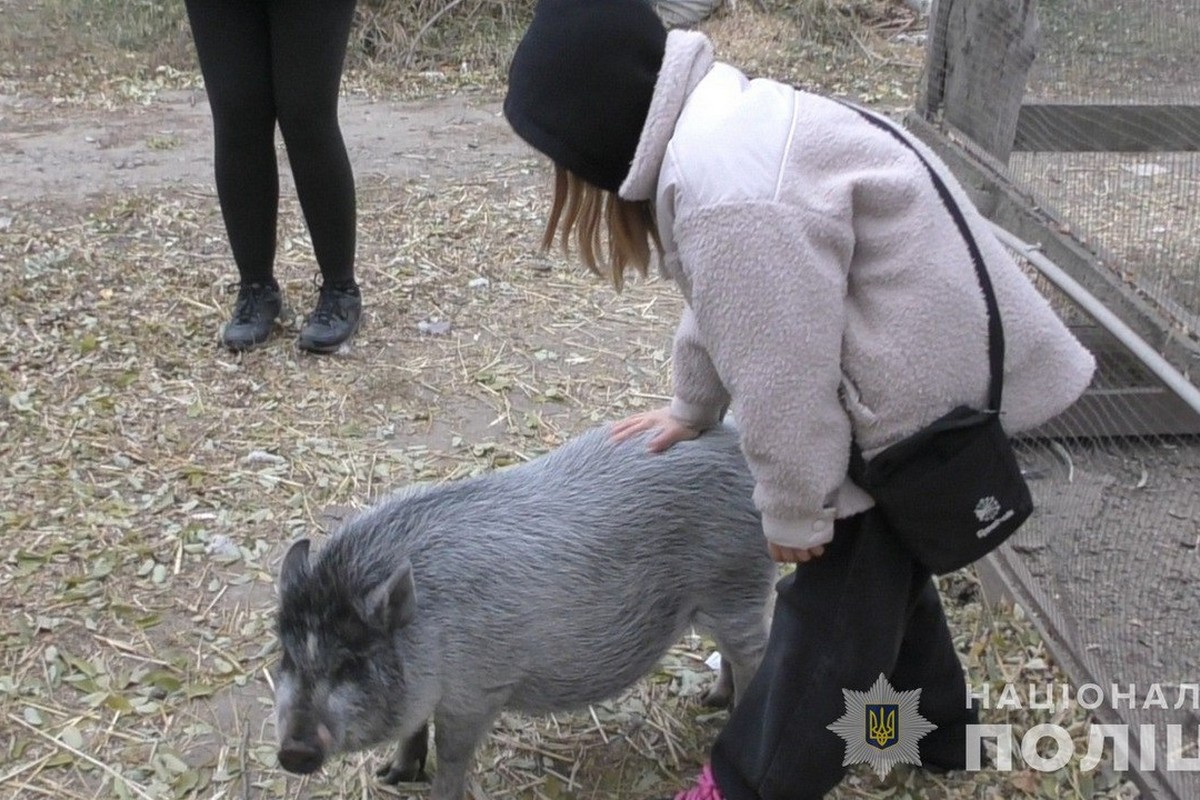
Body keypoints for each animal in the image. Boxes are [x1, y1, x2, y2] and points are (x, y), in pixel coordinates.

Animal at [272, 422, 772, 796]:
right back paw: (710, 699)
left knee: (754, 654)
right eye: (287, 657)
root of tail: (736, 442)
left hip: (738, 586)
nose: (293, 751)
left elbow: (451, 755)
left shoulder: (478, 693)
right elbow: (413, 730)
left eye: (351, 664)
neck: (430, 628)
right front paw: (391, 777)